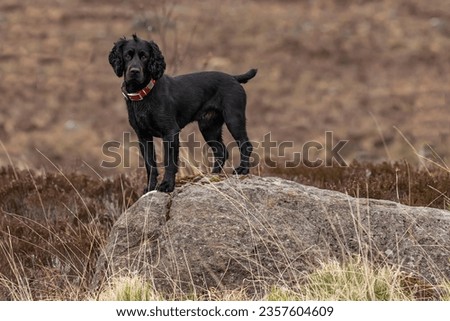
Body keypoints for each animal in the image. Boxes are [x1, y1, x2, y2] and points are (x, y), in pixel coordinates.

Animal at [108, 34, 256, 192]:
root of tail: (234, 78)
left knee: (245, 145)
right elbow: (150, 164)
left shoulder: (170, 132)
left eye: (145, 56)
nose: (134, 71)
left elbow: (169, 161)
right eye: (127, 55)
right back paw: (213, 175)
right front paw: (150, 188)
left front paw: (167, 185)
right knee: (221, 151)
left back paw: (242, 170)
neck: (144, 94)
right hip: (209, 127)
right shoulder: (143, 136)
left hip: (234, 119)